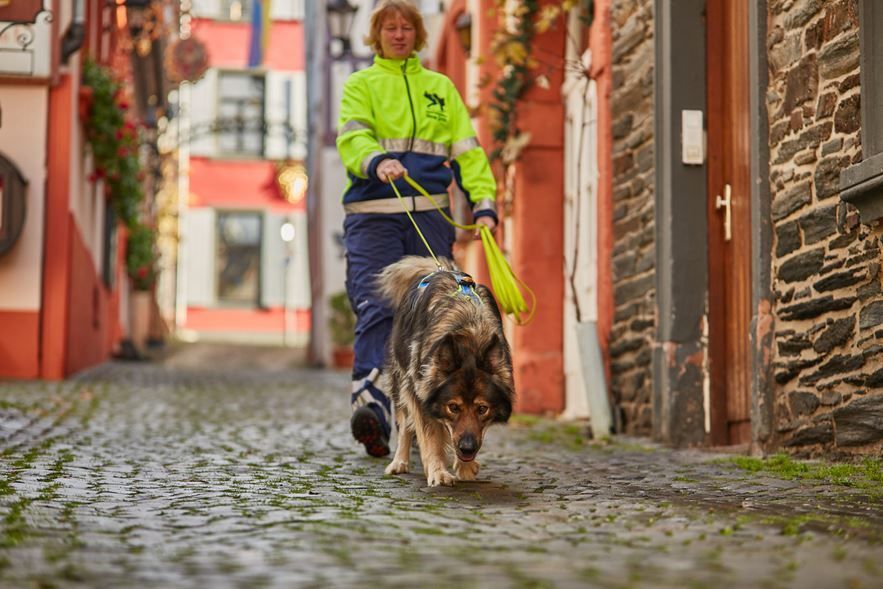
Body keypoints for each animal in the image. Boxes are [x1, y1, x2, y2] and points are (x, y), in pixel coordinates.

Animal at [374, 256, 516, 486]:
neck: (469, 335)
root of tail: (439, 269)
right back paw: (399, 462)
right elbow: (430, 436)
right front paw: (438, 472)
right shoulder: (420, 395)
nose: (467, 449)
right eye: (453, 407)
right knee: (404, 426)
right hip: (399, 383)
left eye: (482, 409)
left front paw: (466, 467)